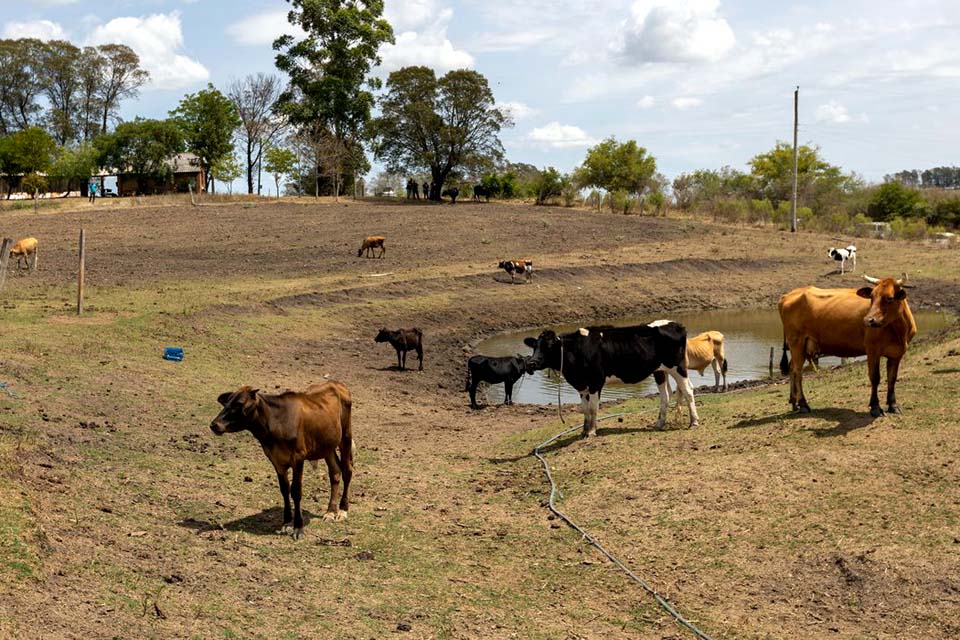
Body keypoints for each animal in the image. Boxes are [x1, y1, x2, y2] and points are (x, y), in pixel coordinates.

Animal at [524, 320, 696, 436]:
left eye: (549, 346)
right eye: (535, 346)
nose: (531, 363)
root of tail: (676, 324)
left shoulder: (595, 382)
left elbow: (593, 408)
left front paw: (592, 431)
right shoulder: (582, 385)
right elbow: (584, 409)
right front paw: (584, 431)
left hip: (678, 367)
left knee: (688, 390)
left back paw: (694, 422)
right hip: (660, 370)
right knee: (665, 395)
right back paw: (659, 423)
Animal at [776, 274, 920, 416]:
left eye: (889, 298)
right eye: (872, 296)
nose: (868, 320)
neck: (898, 331)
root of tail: (788, 295)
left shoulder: (897, 353)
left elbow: (892, 378)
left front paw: (893, 405)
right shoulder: (872, 350)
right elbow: (875, 377)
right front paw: (875, 407)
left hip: (801, 346)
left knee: (792, 368)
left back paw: (794, 403)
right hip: (796, 342)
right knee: (797, 371)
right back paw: (803, 405)